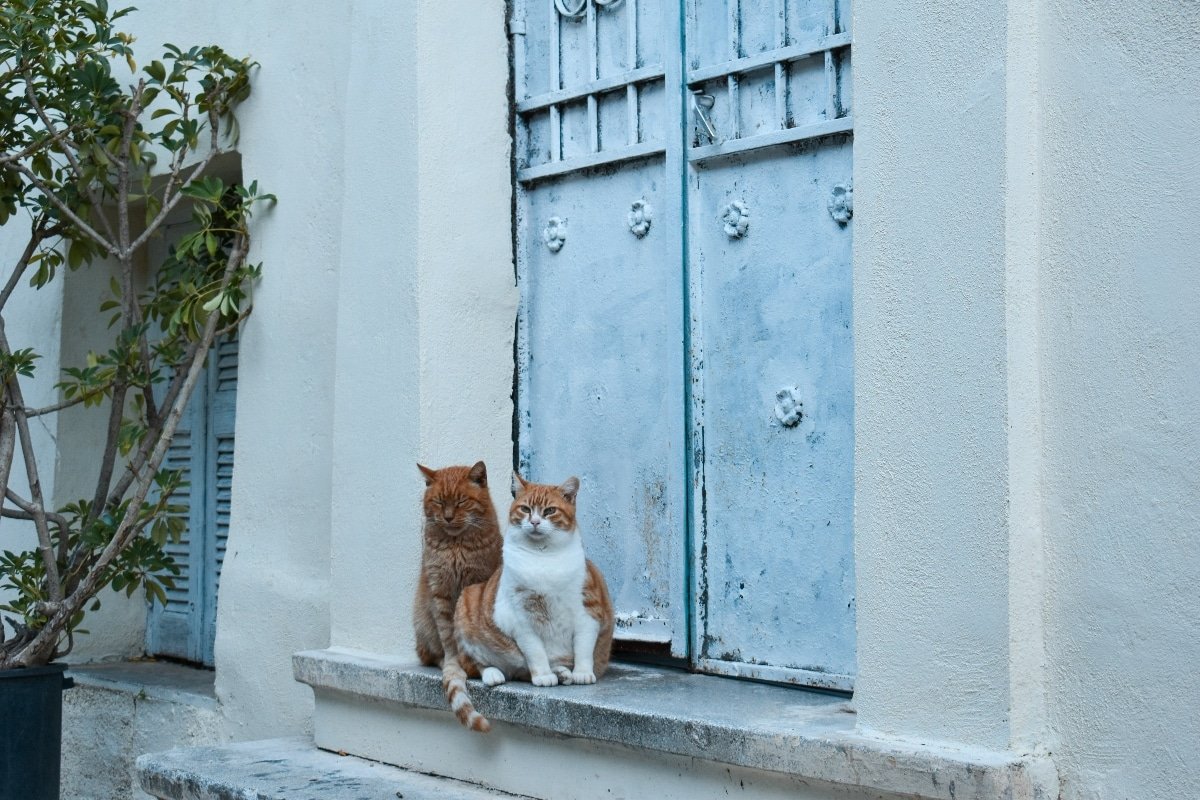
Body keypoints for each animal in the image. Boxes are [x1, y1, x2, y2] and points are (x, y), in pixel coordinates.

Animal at [412, 462, 501, 734]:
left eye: (461, 501)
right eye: (439, 502)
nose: (448, 517)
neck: (456, 545)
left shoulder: (476, 587)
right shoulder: (439, 593)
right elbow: (449, 637)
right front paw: (456, 664)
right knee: (431, 654)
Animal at [451, 474, 619, 734]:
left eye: (549, 510)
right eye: (525, 509)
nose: (535, 521)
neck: (543, 557)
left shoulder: (588, 612)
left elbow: (583, 647)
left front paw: (581, 673)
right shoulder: (521, 620)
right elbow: (536, 652)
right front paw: (543, 676)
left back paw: (563, 673)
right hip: (466, 606)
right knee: (474, 665)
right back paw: (494, 674)